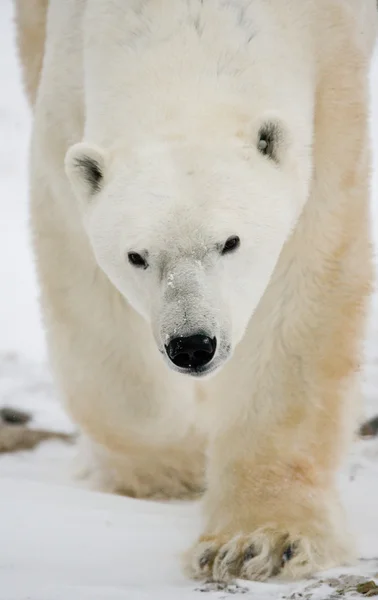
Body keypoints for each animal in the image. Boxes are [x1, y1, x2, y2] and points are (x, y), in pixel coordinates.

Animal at [14, 0, 378, 584]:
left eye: (230, 241)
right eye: (137, 256)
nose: (192, 345)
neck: (186, 23)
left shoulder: (333, 83)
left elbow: (304, 289)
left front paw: (260, 541)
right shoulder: (63, 107)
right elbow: (80, 272)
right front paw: (173, 468)